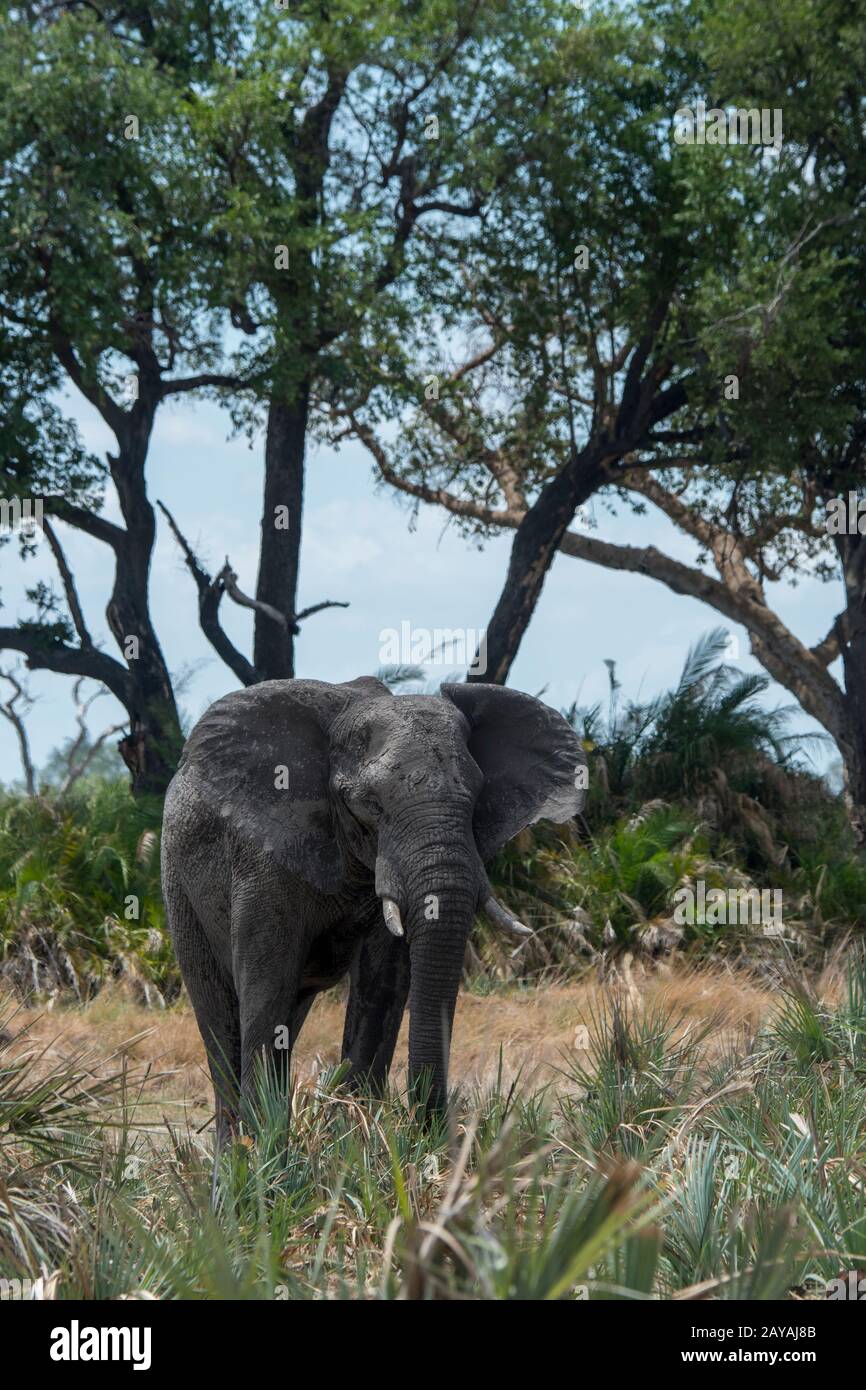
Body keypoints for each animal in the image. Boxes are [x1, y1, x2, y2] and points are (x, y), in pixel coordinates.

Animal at [160, 676, 587, 1137]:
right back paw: (236, 1151)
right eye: (370, 805)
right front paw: (267, 1152)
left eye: (475, 797)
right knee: (220, 1018)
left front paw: (355, 1137)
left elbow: (383, 981)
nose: (433, 1130)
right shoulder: (264, 861)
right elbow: (266, 984)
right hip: (178, 884)